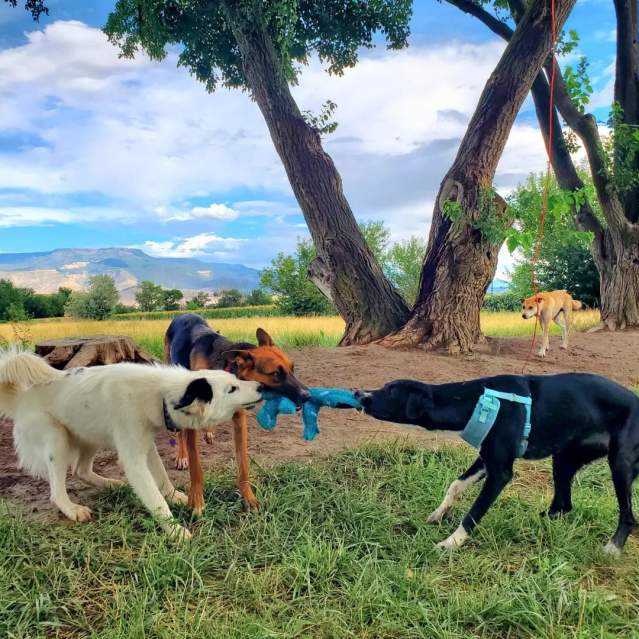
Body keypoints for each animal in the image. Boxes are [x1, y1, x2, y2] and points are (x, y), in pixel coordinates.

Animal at [0, 350, 262, 540]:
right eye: (232, 389)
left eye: (235, 379)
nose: (261, 387)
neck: (160, 393)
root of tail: (20, 398)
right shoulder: (133, 459)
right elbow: (155, 500)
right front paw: (176, 531)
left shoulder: (146, 445)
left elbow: (162, 476)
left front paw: (175, 496)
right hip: (57, 439)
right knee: (57, 490)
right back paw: (72, 508)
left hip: (90, 434)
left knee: (81, 470)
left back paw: (112, 484)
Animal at [165, 312, 310, 516]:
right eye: (276, 373)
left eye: (293, 368)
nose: (307, 395)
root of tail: (184, 314)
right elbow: (196, 467)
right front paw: (197, 501)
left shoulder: (239, 421)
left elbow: (243, 465)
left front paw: (248, 498)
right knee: (180, 432)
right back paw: (181, 456)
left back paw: (208, 431)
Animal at [358, 376, 639, 556]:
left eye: (391, 390)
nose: (360, 394)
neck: (476, 400)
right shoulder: (486, 460)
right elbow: (456, 485)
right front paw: (439, 514)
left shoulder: (500, 472)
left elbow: (472, 514)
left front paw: (451, 543)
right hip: (564, 459)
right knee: (563, 504)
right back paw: (536, 526)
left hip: (620, 464)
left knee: (627, 516)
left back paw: (612, 549)